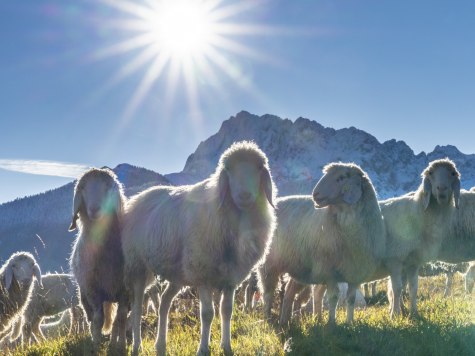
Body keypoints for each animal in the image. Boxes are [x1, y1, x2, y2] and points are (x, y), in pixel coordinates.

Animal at [68, 167, 128, 354]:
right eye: (83, 188)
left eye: (107, 188)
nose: (95, 209)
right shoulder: (92, 290)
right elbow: (98, 319)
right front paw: (96, 345)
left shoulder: (126, 290)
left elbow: (120, 319)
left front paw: (119, 346)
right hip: (84, 295)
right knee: (92, 318)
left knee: (118, 320)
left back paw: (117, 341)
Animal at [122, 141, 278, 356]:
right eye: (229, 170)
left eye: (259, 168)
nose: (245, 195)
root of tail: (138, 197)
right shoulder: (203, 274)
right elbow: (207, 313)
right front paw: (203, 348)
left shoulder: (230, 278)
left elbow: (226, 311)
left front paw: (226, 347)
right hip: (137, 266)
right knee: (137, 309)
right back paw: (137, 346)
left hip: (178, 272)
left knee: (164, 302)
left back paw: (161, 345)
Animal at [260, 162, 386, 326]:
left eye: (341, 178)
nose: (315, 194)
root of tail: (276, 203)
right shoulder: (329, 269)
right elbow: (333, 297)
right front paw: (331, 323)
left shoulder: (354, 271)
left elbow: (351, 299)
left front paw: (349, 323)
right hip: (270, 263)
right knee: (268, 293)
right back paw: (268, 318)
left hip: (299, 266)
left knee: (289, 292)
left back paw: (285, 320)